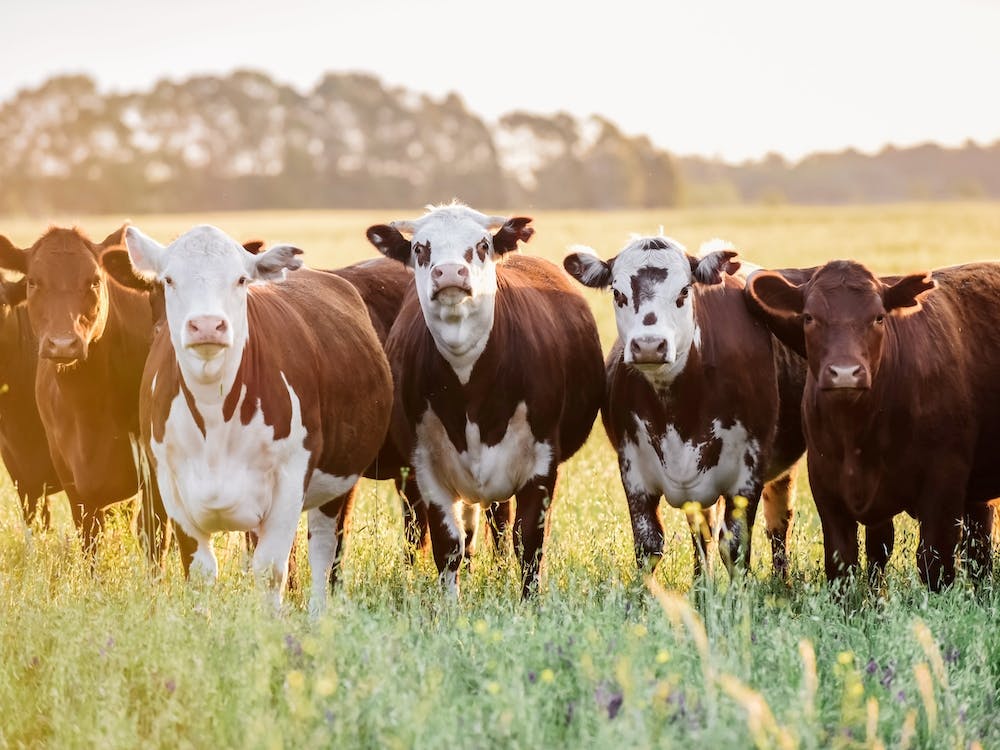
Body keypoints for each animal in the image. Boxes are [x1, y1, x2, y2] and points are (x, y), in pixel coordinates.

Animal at [115, 224, 392, 610]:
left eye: (241, 279)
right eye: (168, 279)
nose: (206, 325)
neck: (214, 416)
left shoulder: (292, 476)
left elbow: (270, 570)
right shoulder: (170, 483)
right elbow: (200, 572)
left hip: (339, 477)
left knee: (324, 550)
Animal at [366, 203, 605, 597]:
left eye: (481, 245)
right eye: (419, 248)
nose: (449, 272)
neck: (469, 387)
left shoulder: (542, 462)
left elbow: (529, 541)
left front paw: (529, 603)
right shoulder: (426, 467)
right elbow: (448, 544)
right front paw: (450, 605)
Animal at [564, 235, 806, 581]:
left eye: (683, 292)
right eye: (618, 293)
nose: (649, 346)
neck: (676, 409)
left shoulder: (748, 472)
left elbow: (735, 546)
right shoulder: (633, 470)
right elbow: (649, 545)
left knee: (779, 523)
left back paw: (780, 579)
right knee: (703, 533)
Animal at [746, 259, 1000, 589]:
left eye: (879, 317)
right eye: (809, 317)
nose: (844, 373)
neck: (856, 434)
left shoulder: (944, 485)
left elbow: (934, 564)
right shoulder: (828, 491)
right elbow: (843, 564)